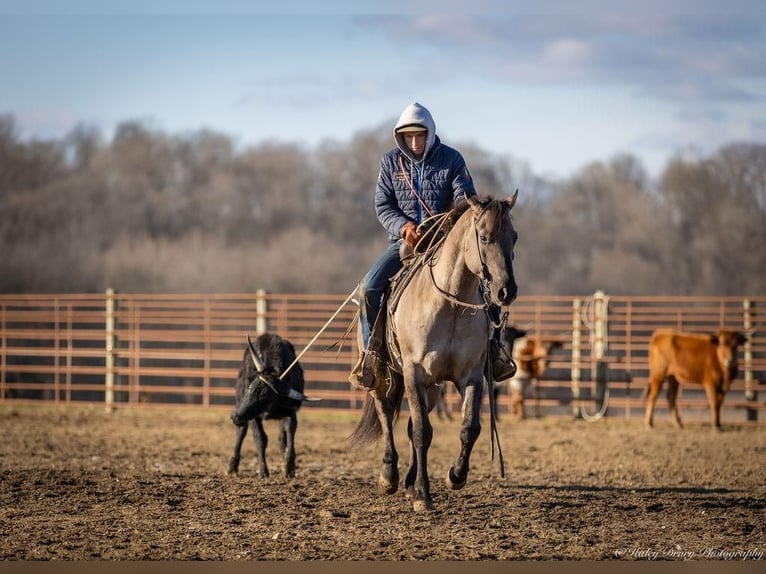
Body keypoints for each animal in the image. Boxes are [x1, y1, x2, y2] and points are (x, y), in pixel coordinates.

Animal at [228, 336, 312, 480]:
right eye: (250, 387)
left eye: (266, 396)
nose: (235, 417)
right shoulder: (253, 416)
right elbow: (260, 438)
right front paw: (263, 471)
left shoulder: (290, 411)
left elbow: (289, 435)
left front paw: (289, 467)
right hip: (241, 407)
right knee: (241, 432)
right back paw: (232, 467)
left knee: (281, 438)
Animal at [352, 194, 520, 512]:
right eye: (484, 237)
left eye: (514, 237)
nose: (507, 291)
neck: (450, 304)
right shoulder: (413, 373)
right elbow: (422, 432)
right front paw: (423, 495)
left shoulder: (472, 377)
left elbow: (469, 428)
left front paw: (455, 476)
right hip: (383, 378)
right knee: (386, 416)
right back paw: (390, 476)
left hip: (433, 387)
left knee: (409, 425)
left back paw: (408, 483)